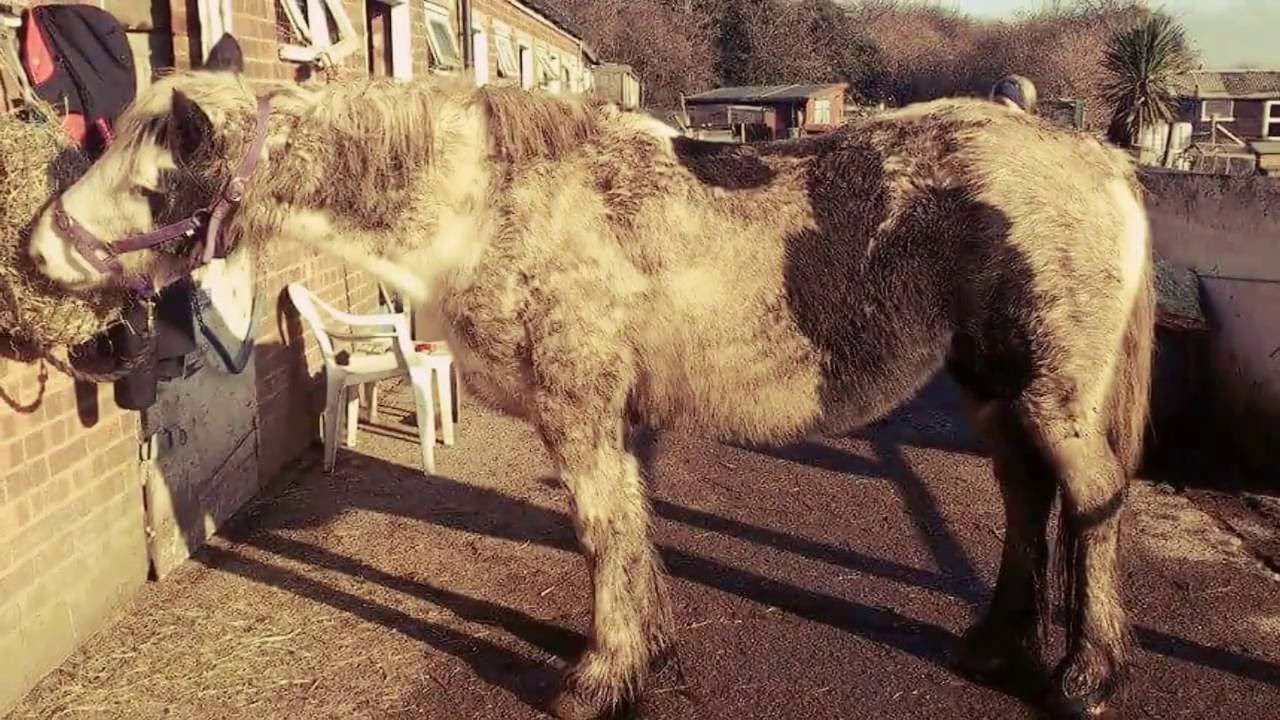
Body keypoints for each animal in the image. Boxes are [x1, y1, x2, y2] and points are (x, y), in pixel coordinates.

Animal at [27, 35, 1154, 720]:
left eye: (156, 177)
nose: (36, 254)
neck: (484, 201)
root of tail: (1097, 163)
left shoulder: (575, 407)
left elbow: (599, 530)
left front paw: (597, 676)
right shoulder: (605, 416)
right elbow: (629, 528)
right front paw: (642, 653)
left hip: (1050, 394)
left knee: (1092, 500)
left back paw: (1087, 674)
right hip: (991, 388)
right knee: (1026, 501)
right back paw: (994, 645)